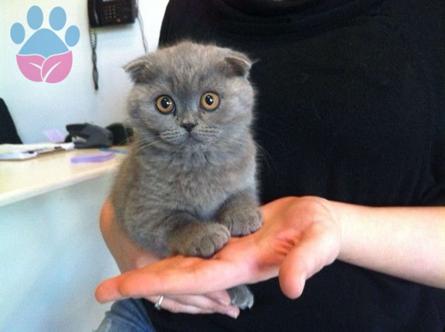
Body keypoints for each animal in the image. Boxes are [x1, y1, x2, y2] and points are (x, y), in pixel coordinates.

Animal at [111, 40, 262, 308]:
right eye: (164, 103)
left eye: (210, 100)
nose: (188, 123)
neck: (198, 162)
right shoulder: (142, 212)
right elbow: (178, 221)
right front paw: (205, 235)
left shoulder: (245, 176)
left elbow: (240, 196)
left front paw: (243, 216)